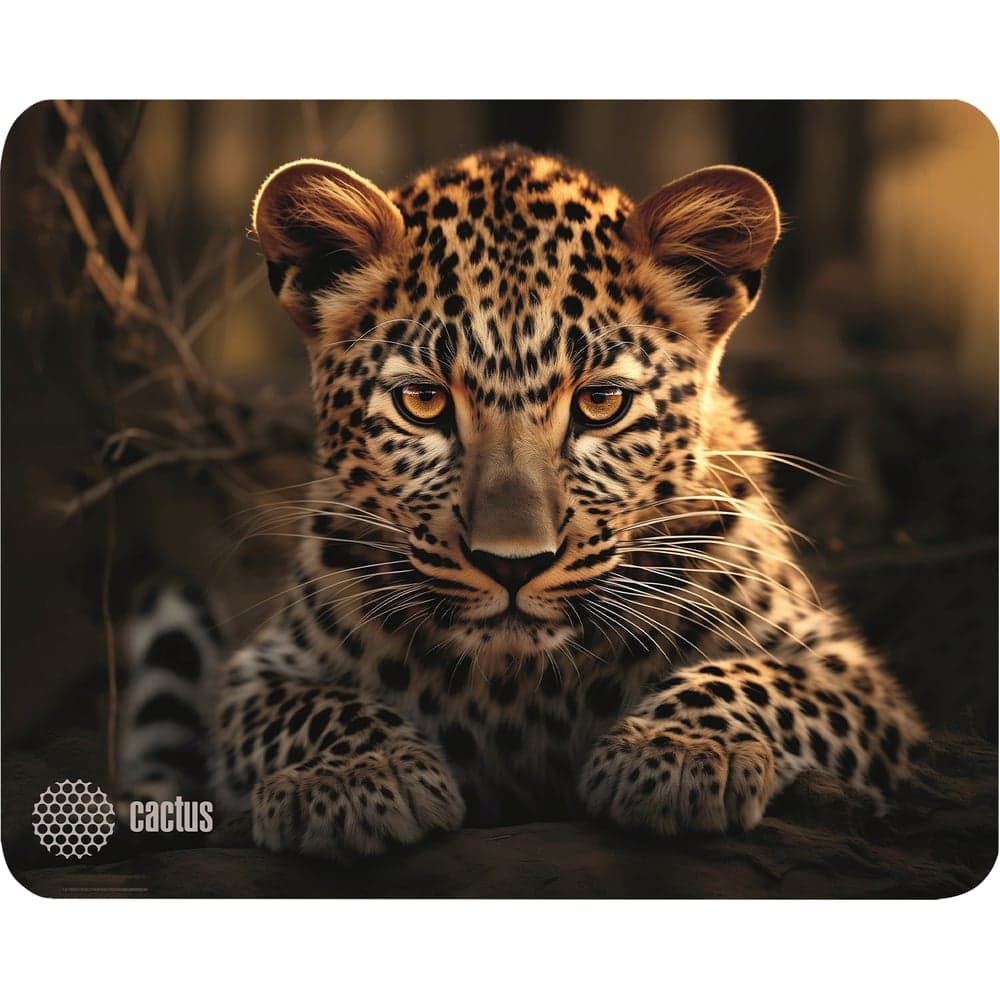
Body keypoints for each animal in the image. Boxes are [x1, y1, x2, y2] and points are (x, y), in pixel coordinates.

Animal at [120, 145, 927, 862]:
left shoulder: (853, 679)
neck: (522, 681)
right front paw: (355, 779)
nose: (513, 566)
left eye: (601, 404)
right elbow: (312, 707)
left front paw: (678, 752)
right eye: (422, 402)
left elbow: (753, 678)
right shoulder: (262, 673)